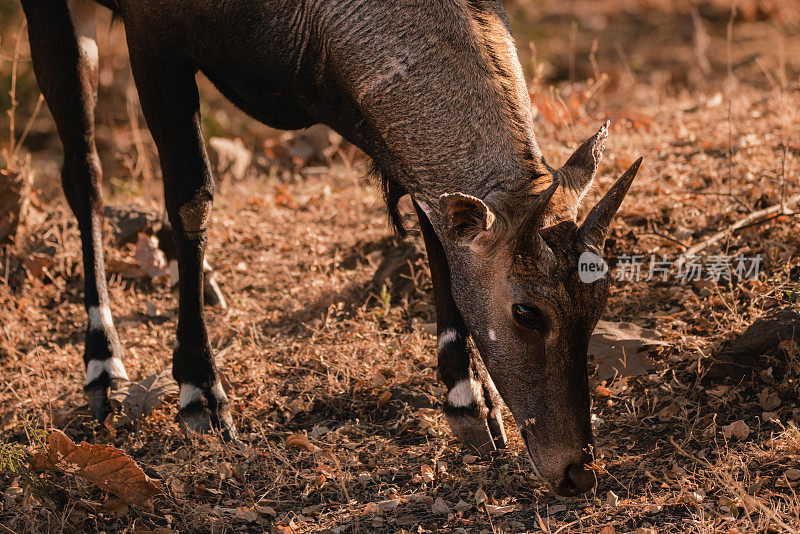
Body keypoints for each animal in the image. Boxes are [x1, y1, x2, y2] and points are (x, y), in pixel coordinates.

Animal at [18, 0, 640, 498]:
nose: (577, 472)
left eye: (600, 301)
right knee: (84, 166)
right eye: (527, 311)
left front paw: (469, 400)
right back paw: (104, 367)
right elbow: (192, 198)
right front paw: (202, 395)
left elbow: (432, 220)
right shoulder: (155, 40)